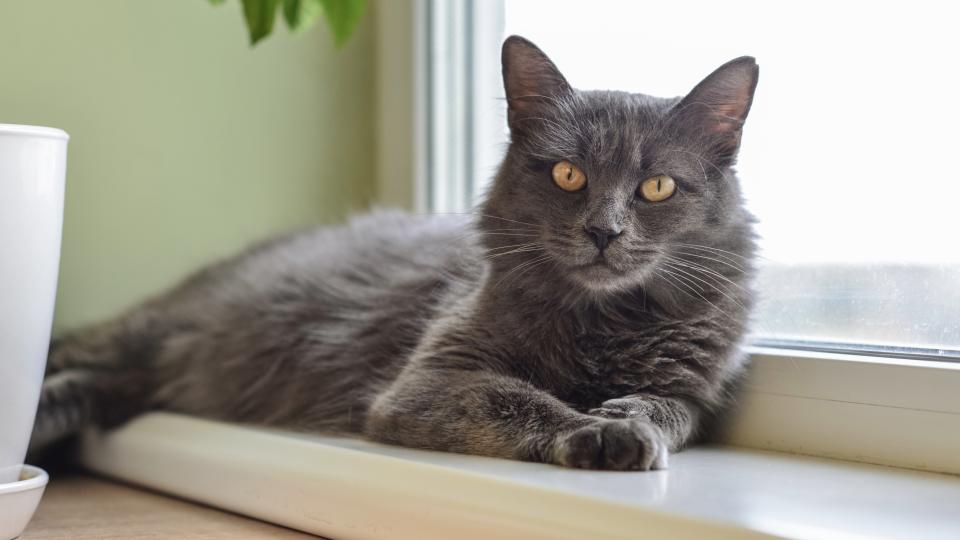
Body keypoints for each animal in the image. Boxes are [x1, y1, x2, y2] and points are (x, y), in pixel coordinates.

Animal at [33, 35, 760, 470]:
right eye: (568, 176)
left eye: (657, 186)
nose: (604, 232)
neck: (601, 326)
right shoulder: (429, 381)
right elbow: (523, 399)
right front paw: (597, 431)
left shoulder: (693, 390)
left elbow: (668, 409)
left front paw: (628, 420)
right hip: (139, 335)